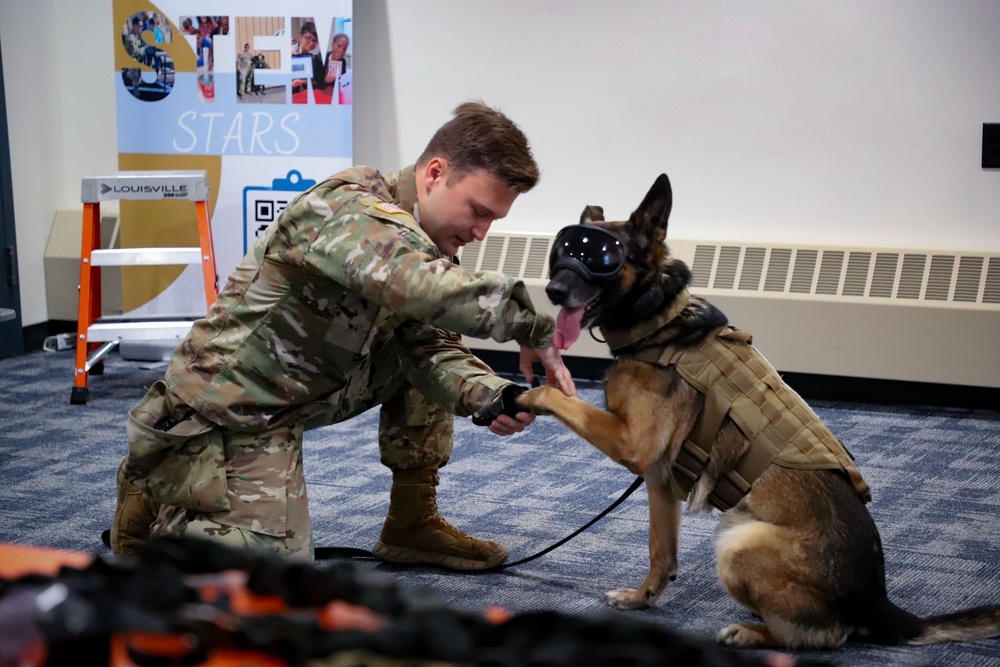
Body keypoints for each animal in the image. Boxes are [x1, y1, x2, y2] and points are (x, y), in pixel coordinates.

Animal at [516, 175, 1000, 648]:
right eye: (563, 250)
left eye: (601, 256)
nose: (553, 291)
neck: (658, 322)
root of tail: (877, 603)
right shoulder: (660, 482)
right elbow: (661, 553)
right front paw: (642, 598)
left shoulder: (633, 446)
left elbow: (559, 397)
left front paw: (527, 395)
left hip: (738, 542)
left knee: (824, 637)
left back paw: (752, 632)